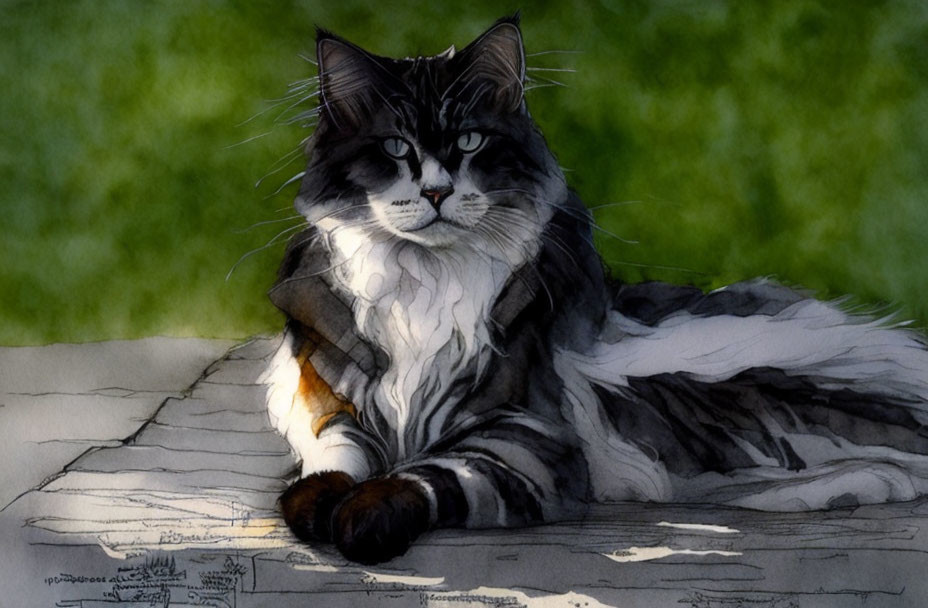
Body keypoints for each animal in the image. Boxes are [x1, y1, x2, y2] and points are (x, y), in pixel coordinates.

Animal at [258, 14, 928, 564]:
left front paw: (362, 519)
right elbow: (331, 461)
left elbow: (424, 477)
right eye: (396, 148)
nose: (438, 191)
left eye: (471, 142)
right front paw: (316, 504)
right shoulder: (329, 404)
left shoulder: (521, 438)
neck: (425, 281)